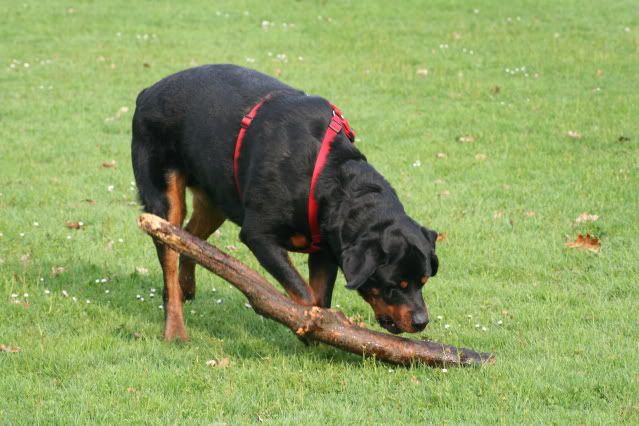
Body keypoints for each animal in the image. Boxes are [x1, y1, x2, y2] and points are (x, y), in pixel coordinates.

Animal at [130, 65, 440, 342]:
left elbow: (319, 296)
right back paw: (176, 330)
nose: (421, 321)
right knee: (170, 258)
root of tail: (146, 93)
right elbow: (305, 294)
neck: (324, 177)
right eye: (393, 285)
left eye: (424, 281)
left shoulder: (326, 252)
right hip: (165, 200)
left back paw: (187, 286)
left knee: (190, 239)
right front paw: (315, 327)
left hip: (216, 198)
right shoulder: (259, 236)